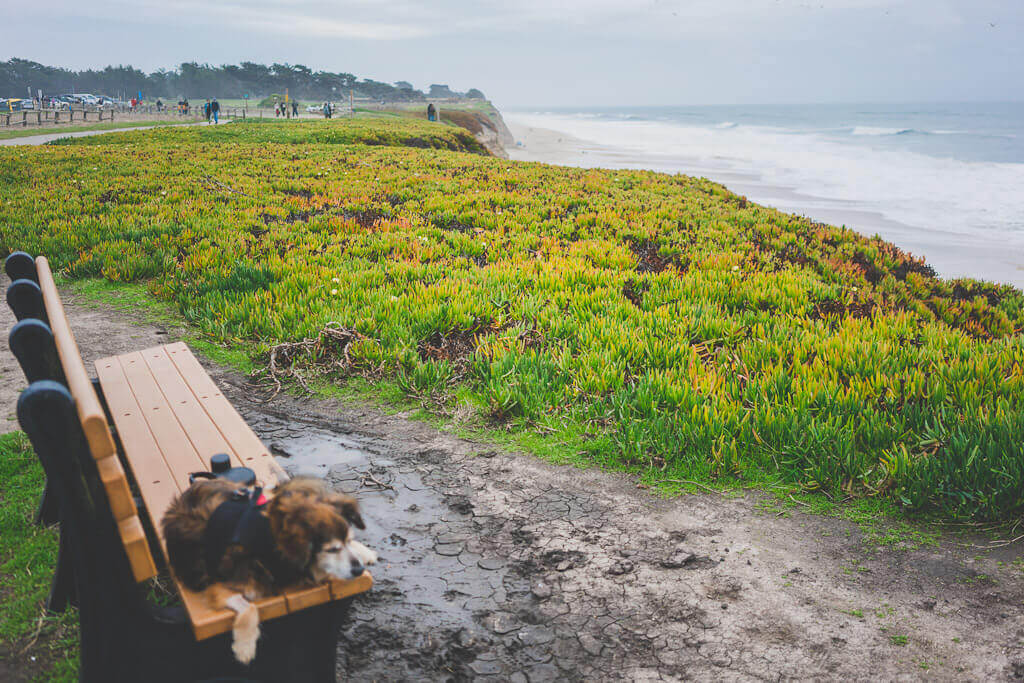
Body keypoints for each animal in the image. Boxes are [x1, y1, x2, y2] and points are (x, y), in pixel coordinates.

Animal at [161, 479, 378, 663]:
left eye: (347, 541)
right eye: (332, 549)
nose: (359, 570)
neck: (268, 538)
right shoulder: (220, 586)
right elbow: (250, 607)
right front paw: (244, 646)